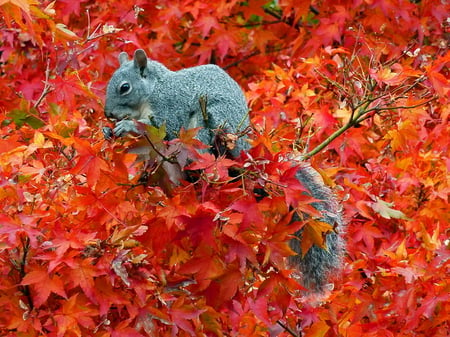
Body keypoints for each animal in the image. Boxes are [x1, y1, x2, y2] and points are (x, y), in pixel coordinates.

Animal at [104, 48, 344, 290]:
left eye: (125, 87)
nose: (108, 114)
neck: (152, 91)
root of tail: (244, 151)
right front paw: (107, 130)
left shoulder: (171, 106)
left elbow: (163, 126)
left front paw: (128, 125)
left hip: (212, 121)